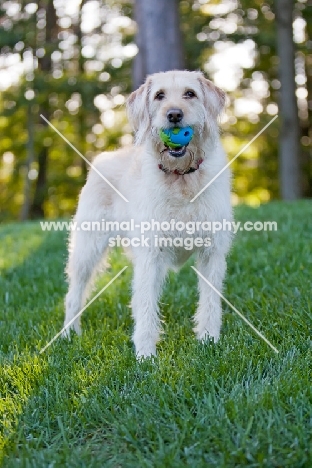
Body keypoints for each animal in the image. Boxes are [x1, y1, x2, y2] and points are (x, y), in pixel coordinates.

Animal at [63, 69, 233, 356]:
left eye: (190, 93)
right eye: (159, 96)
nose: (174, 115)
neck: (180, 178)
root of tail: (102, 158)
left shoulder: (212, 252)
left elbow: (210, 301)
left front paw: (209, 340)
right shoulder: (150, 254)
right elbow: (144, 304)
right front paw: (145, 355)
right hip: (88, 247)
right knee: (75, 292)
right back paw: (68, 334)